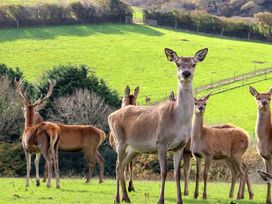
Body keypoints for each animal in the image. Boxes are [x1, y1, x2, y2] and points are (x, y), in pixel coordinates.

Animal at [108, 47, 208, 204]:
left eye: (194, 63)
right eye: (177, 63)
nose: (186, 74)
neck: (178, 119)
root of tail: (110, 116)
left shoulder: (179, 146)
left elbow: (177, 173)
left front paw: (180, 200)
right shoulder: (161, 142)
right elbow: (164, 171)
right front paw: (160, 200)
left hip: (134, 149)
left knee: (122, 166)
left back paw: (126, 198)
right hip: (120, 141)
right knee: (117, 166)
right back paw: (117, 198)